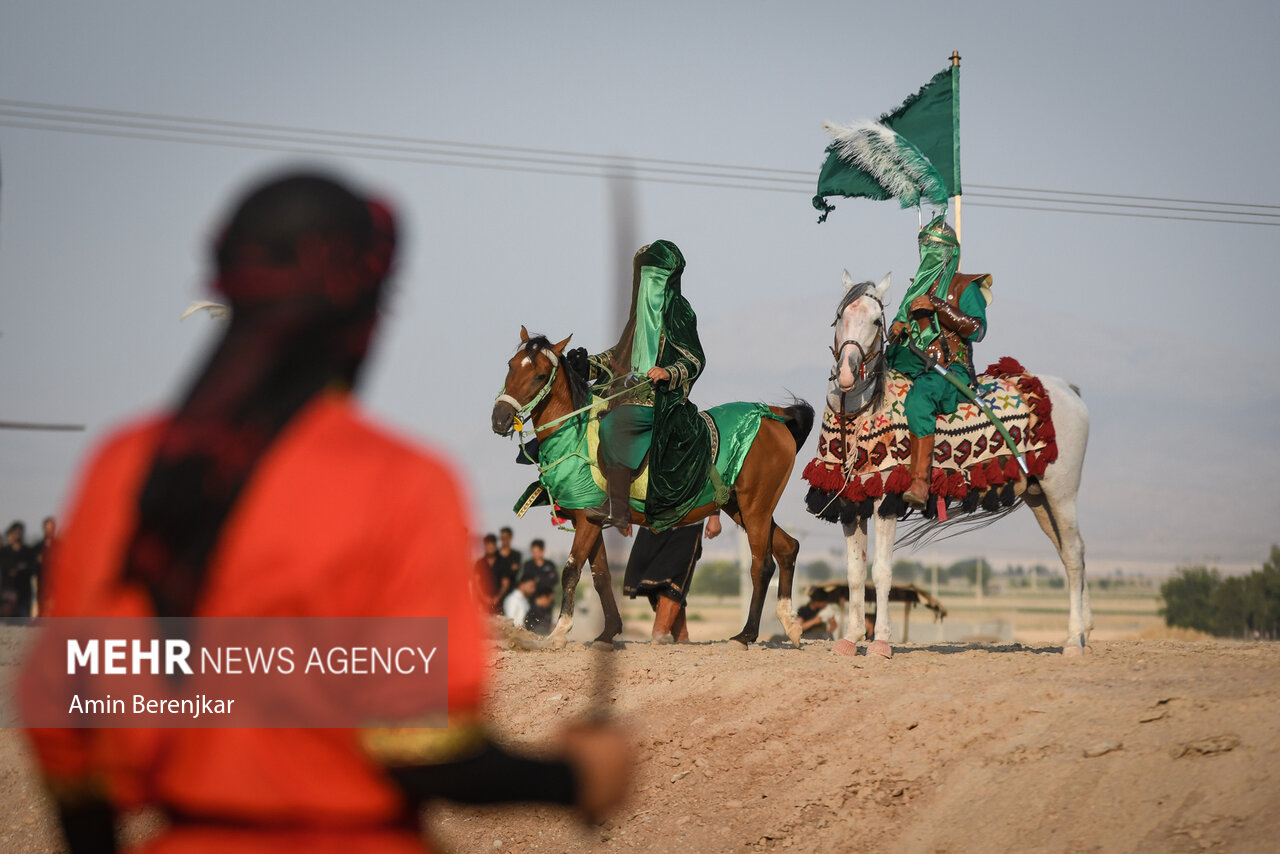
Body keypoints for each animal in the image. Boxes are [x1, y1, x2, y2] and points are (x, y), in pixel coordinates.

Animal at [488, 327, 808, 647]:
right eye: (510, 365)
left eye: (541, 375)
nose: (499, 418)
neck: (576, 434)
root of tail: (770, 414)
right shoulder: (588, 519)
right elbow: (601, 575)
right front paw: (608, 632)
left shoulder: (588, 519)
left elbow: (570, 570)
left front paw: (559, 632)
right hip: (741, 508)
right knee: (788, 548)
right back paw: (790, 625)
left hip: (755, 508)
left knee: (762, 565)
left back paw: (746, 634)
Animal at [814, 270, 1095, 660]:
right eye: (841, 316)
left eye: (875, 321)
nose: (847, 373)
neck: (864, 409)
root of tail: (1065, 389)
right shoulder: (851, 501)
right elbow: (855, 572)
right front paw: (850, 639)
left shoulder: (885, 498)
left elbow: (881, 570)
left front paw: (881, 642)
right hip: (1039, 496)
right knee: (1069, 553)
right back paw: (1084, 633)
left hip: (1062, 491)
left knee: (1073, 553)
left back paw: (1072, 641)